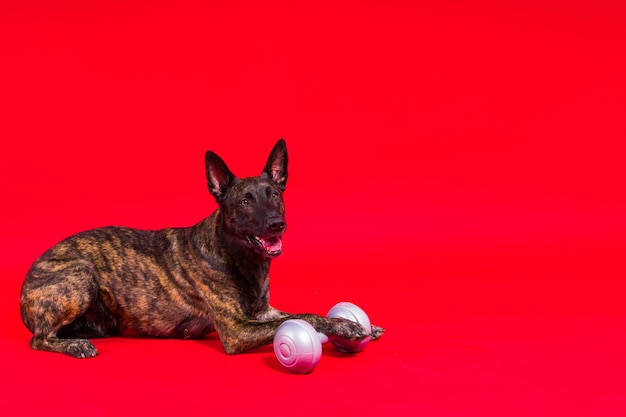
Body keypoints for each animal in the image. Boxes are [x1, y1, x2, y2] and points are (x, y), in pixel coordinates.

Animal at [19, 140, 382, 358]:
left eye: (275, 194)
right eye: (245, 201)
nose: (277, 224)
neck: (238, 255)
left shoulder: (264, 312)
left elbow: (306, 312)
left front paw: (351, 323)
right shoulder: (237, 331)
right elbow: (303, 317)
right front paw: (345, 326)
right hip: (81, 273)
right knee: (39, 339)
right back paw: (75, 344)